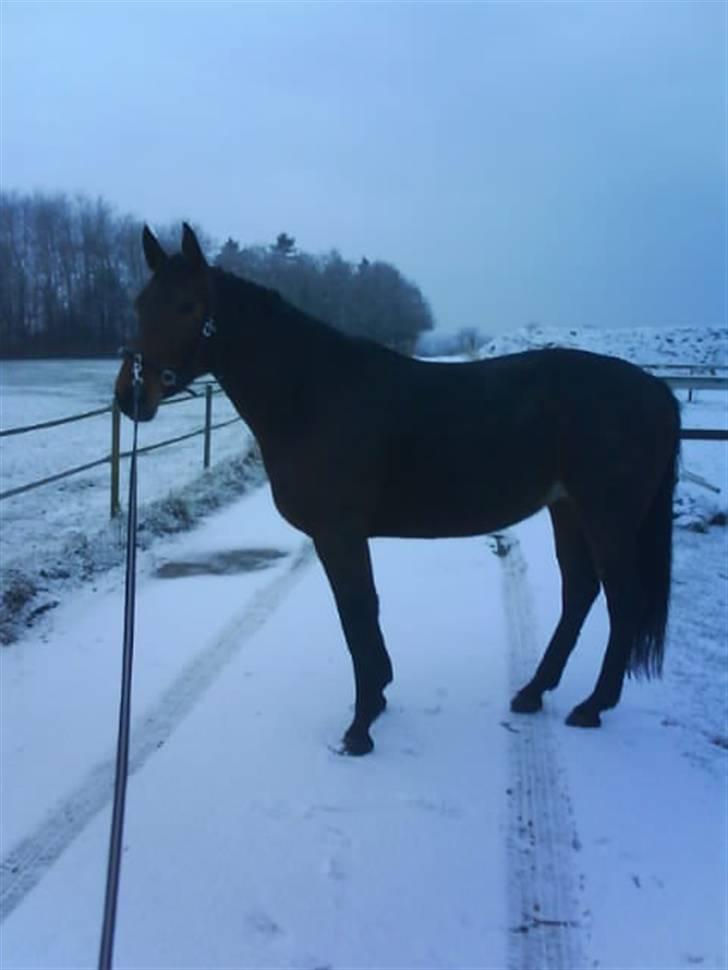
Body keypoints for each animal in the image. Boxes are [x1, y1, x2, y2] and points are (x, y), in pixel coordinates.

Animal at [115, 225, 684, 756]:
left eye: (188, 306)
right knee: (580, 591)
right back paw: (533, 691)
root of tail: (656, 390)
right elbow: (361, 614)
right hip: (567, 509)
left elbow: (357, 612)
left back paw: (592, 706)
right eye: (140, 304)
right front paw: (379, 699)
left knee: (623, 599)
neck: (314, 395)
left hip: (607, 516)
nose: (131, 397)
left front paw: (362, 724)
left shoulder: (339, 534)